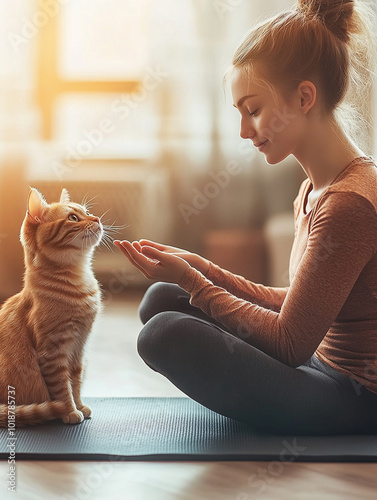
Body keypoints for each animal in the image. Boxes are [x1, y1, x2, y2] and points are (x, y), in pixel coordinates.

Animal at [0, 188, 103, 426]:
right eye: (73, 218)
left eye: (87, 213)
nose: (97, 219)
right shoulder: (53, 352)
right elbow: (62, 387)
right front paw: (69, 410)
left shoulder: (79, 349)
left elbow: (75, 382)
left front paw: (80, 406)